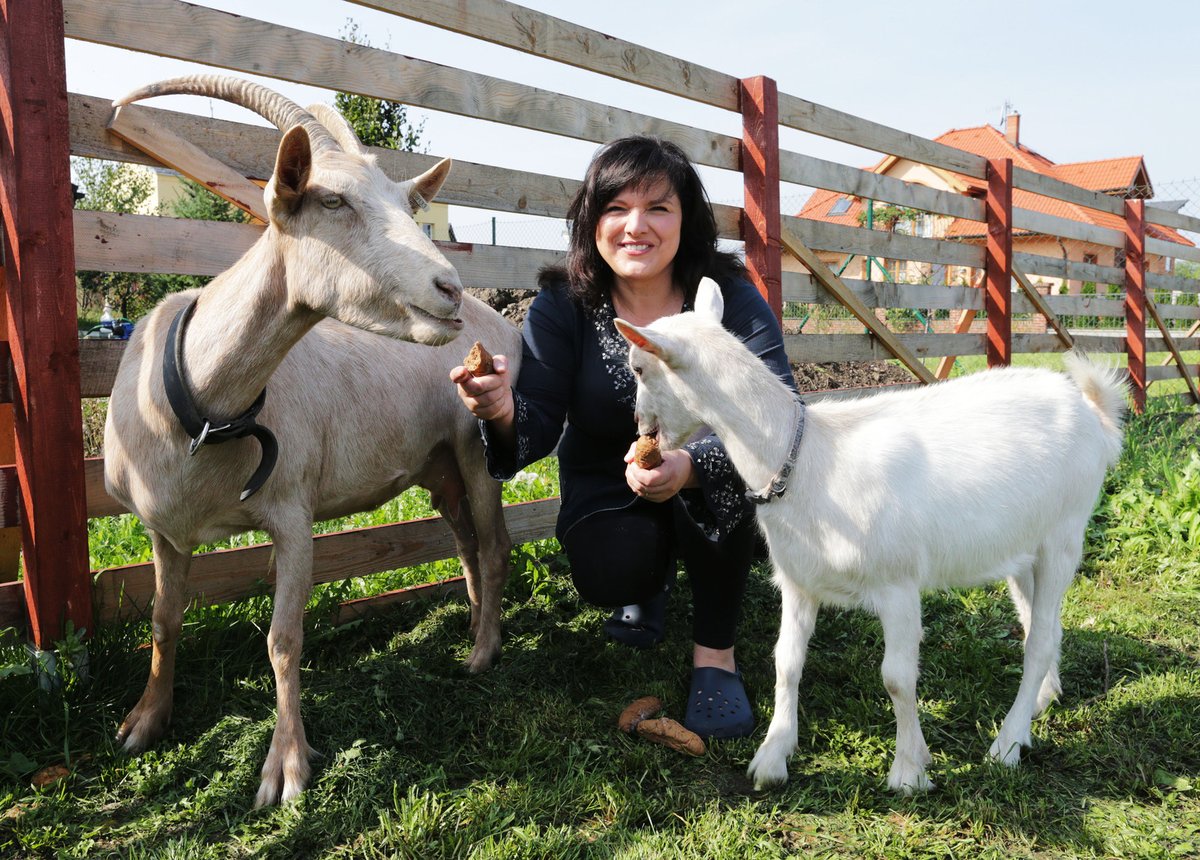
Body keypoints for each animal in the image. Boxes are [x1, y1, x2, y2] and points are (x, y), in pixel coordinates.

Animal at [106, 77, 525, 810]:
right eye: (332, 200)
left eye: (408, 206)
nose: (446, 289)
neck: (194, 408)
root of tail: (498, 321)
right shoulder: (161, 527)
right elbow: (162, 618)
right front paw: (144, 721)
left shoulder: (292, 514)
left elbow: (283, 638)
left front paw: (287, 768)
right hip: (438, 464)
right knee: (468, 544)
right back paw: (475, 629)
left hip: (476, 449)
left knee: (496, 545)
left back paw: (483, 653)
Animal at [614, 277, 1128, 791]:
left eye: (638, 366)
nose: (639, 425)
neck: (809, 460)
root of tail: (1093, 412)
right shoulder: (798, 581)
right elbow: (787, 663)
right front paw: (773, 757)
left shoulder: (897, 583)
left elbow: (897, 678)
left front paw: (909, 770)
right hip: (1023, 546)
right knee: (1041, 625)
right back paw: (1039, 703)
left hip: (1065, 532)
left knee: (1039, 639)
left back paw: (1007, 744)